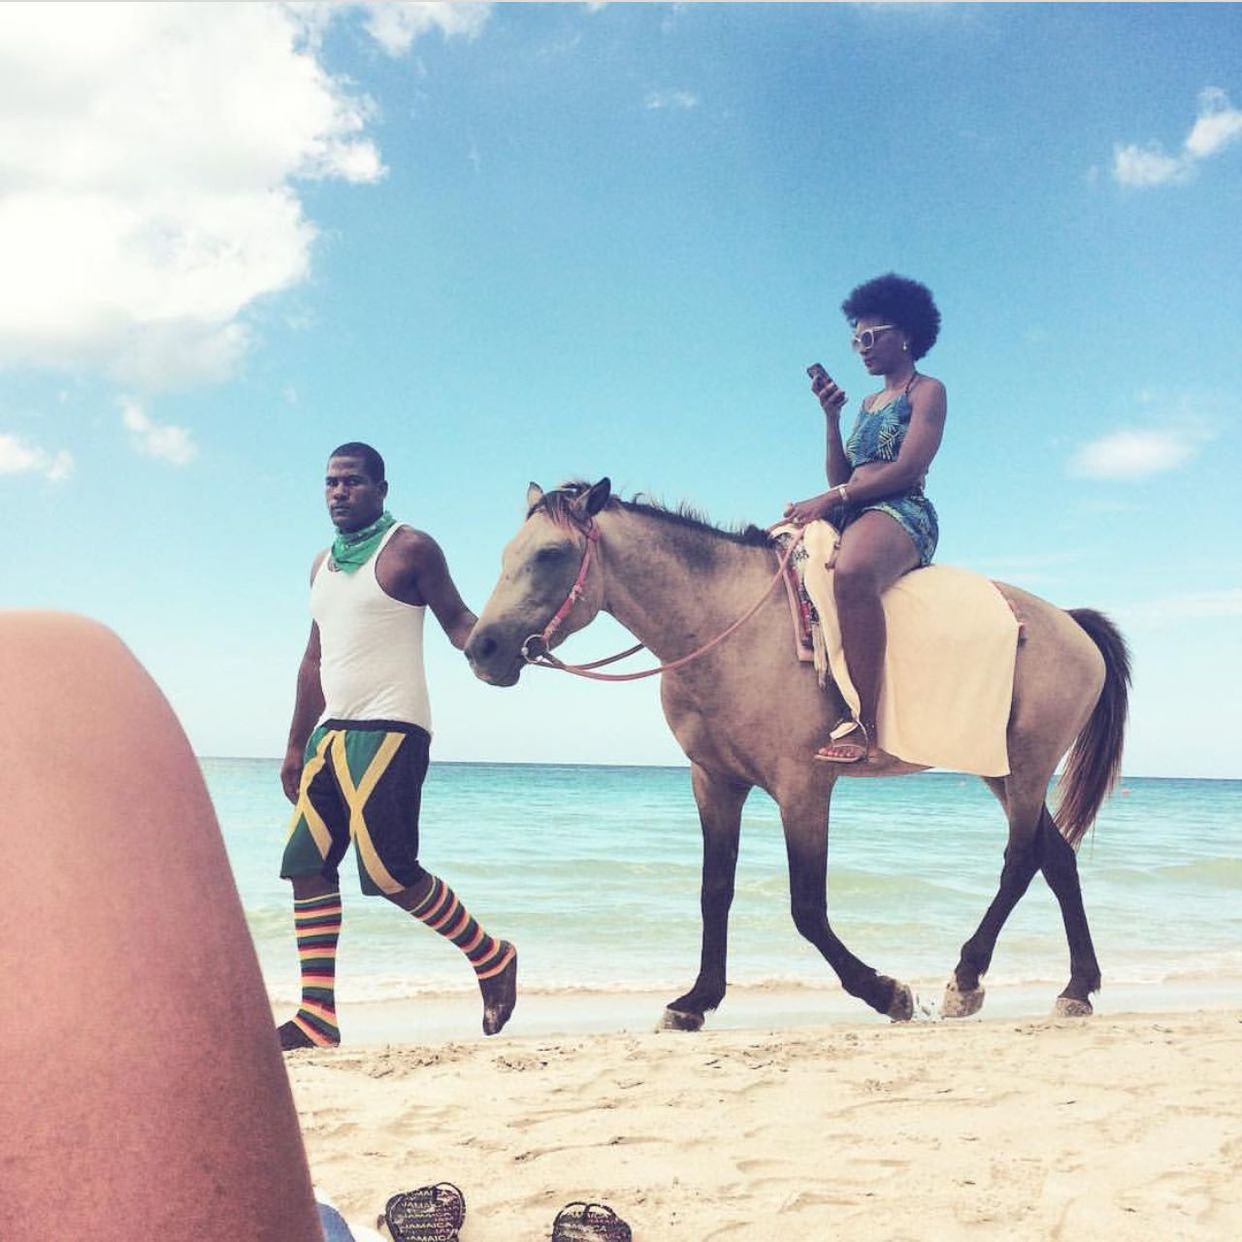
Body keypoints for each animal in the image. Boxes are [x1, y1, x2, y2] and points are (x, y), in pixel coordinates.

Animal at [464, 479, 1127, 1033]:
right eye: (506, 554)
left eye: (551, 554)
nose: (481, 648)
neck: (727, 623)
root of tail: (1070, 625)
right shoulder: (715, 783)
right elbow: (714, 891)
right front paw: (695, 1001)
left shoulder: (802, 788)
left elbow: (807, 906)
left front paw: (885, 992)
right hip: (1000, 770)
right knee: (1056, 858)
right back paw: (1077, 988)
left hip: (1026, 766)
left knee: (1020, 859)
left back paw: (966, 981)